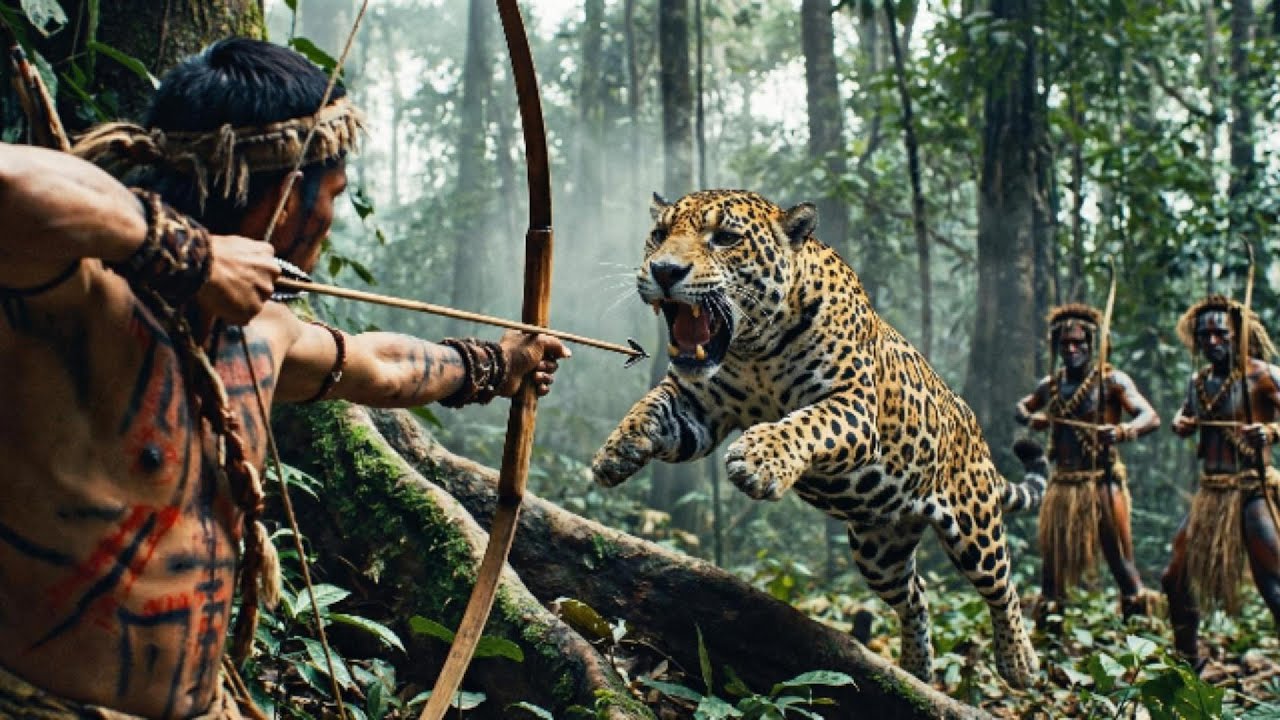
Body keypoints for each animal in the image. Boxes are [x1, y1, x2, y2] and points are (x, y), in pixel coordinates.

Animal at [591, 189, 1048, 688]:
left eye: (726, 238)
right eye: (659, 234)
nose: (664, 270)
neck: (753, 349)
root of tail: (972, 428)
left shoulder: (854, 405)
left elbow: (807, 422)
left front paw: (760, 460)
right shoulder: (699, 411)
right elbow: (651, 406)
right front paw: (616, 451)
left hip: (973, 521)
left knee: (1002, 584)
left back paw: (1020, 663)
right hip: (878, 549)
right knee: (916, 593)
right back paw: (916, 667)